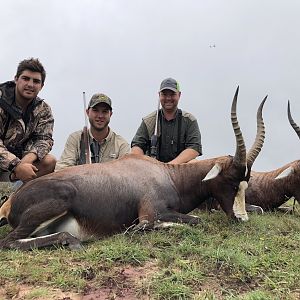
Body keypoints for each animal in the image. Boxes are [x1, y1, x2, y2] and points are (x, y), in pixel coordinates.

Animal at [0, 87, 264, 251]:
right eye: (230, 181)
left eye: (246, 182)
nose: (242, 218)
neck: (168, 175)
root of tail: (12, 201)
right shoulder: (150, 213)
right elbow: (190, 220)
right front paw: (133, 230)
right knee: (10, 242)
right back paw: (72, 241)